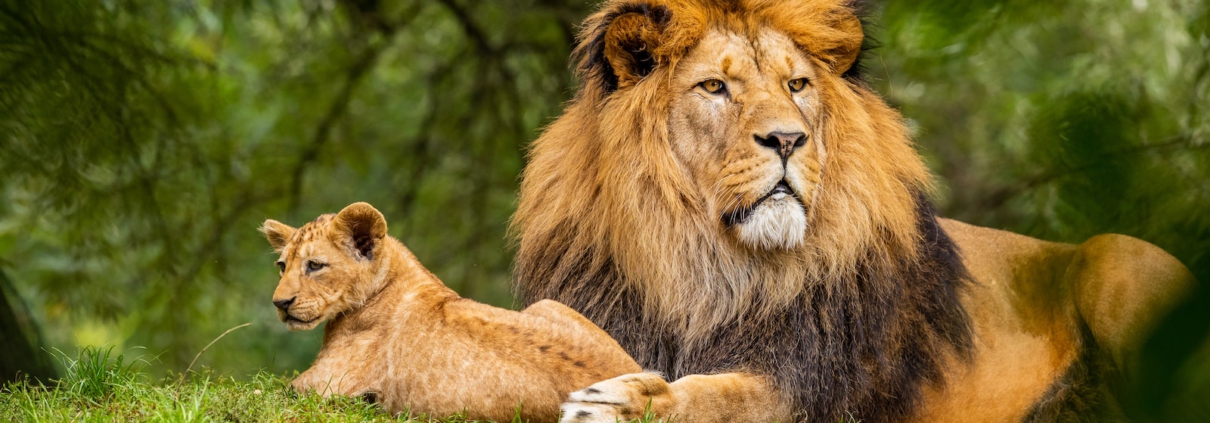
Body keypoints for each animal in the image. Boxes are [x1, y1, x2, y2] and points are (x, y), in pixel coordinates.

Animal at [508, 0, 1190, 423]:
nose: (788, 139)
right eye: (715, 88)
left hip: (1115, 259)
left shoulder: (814, 388)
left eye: (797, 85)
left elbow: (717, 397)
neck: (704, 267)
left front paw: (623, 403)